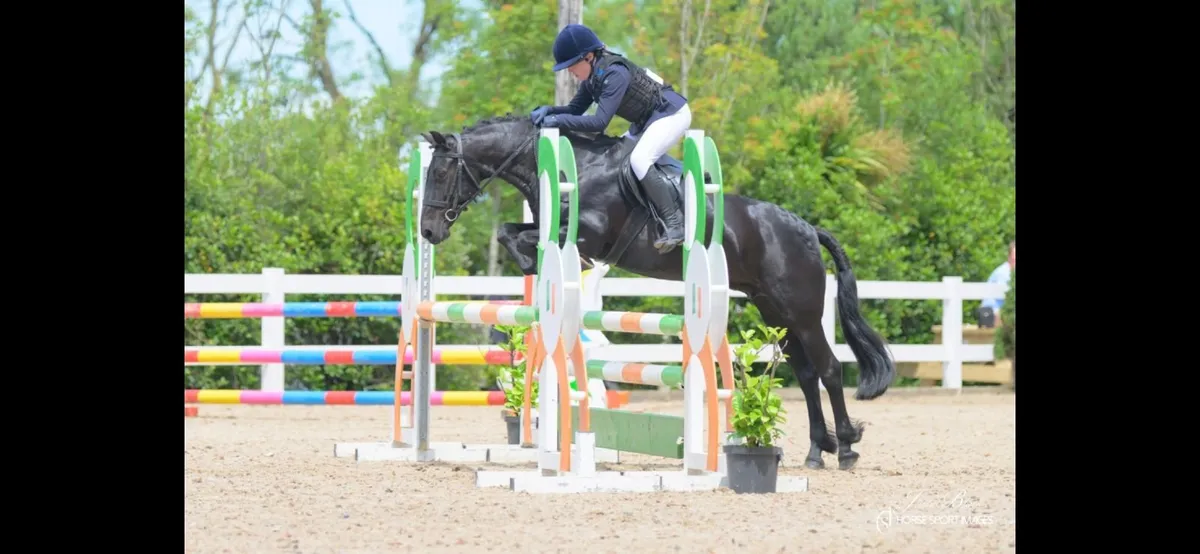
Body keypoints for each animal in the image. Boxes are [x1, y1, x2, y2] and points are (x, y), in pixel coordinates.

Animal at [418, 114, 895, 470]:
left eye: (441, 172)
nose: (428, 232)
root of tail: (806, 228)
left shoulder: (589, 233)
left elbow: (532, 239)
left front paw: (555, 265)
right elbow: (507, 232)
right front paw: (533, 263)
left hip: (802, 313)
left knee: (829, 370)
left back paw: (846, 447)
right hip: (774, 312)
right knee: (807, 373)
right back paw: (817, 450)